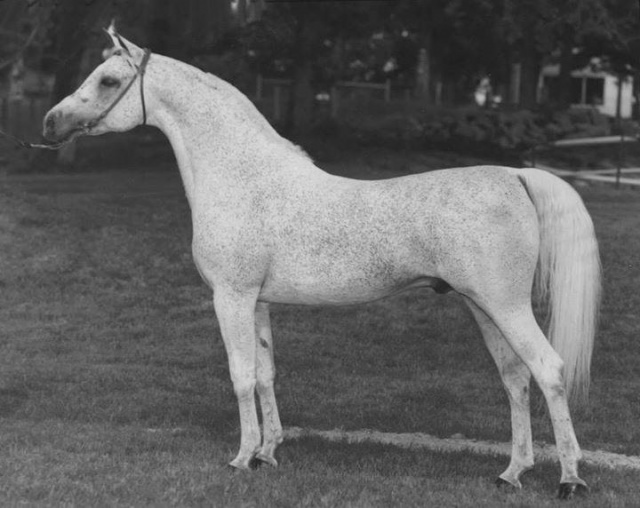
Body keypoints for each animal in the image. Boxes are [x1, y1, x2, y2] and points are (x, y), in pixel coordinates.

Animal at [43, 25, 600, 498]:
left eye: (108, 79)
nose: (51, 123)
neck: (243, 175)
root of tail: (514, 175)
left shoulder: (231, 297)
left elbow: (240, 375)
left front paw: (241, 458)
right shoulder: (258, 302)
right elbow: (266, 373)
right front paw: (268, 453)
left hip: (506, 307)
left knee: (548, 370)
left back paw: (569, 479)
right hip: (482, 307)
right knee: (515, 379)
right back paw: (512, 473)